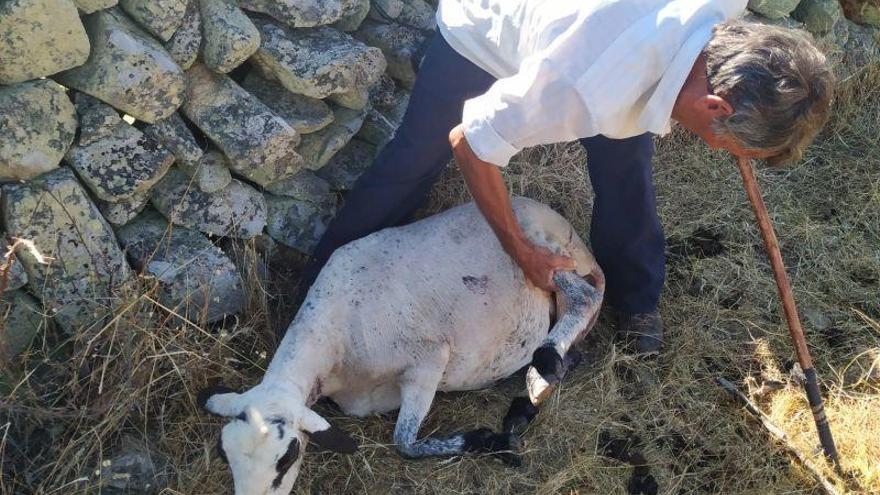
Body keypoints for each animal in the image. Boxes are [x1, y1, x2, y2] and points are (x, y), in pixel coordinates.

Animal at [198, 198, 604, 495]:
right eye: (223, 455)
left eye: (287, 457)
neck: (333, 338)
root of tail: (557, 220)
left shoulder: (429, 360)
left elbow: (403, 443)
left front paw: (486, 441)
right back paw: (535, 389)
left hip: (544, 254)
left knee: (584, 297)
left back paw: (546, 359)